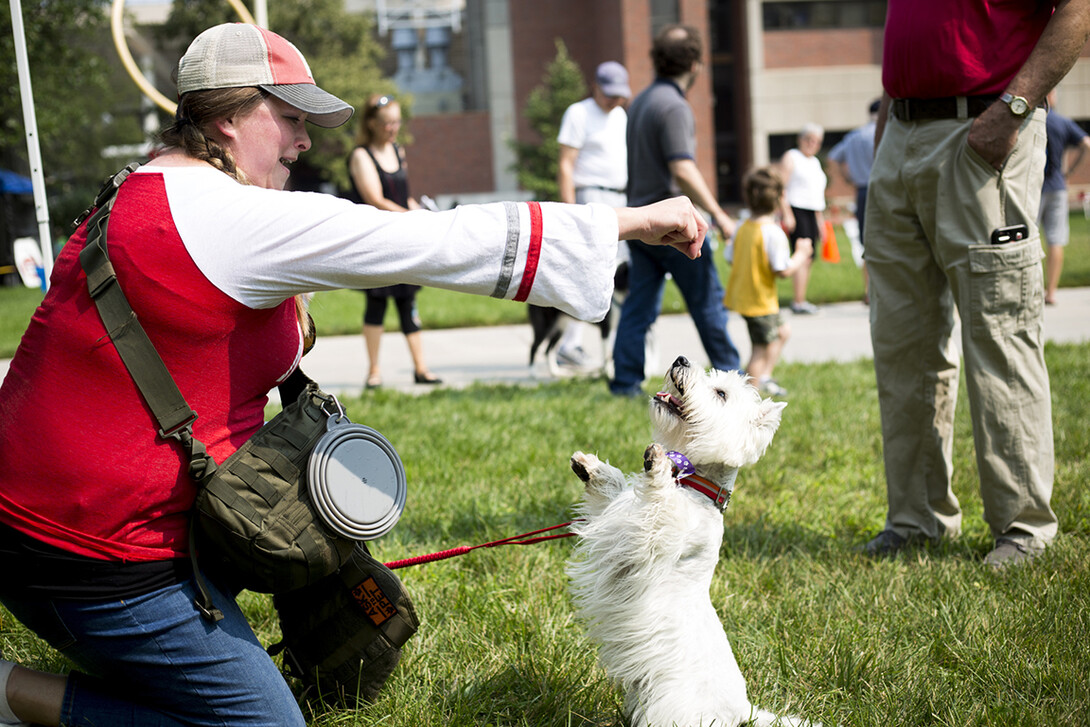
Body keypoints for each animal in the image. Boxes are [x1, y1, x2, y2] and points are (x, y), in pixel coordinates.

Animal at [571, 357, 819, 727]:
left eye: (720, 393)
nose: (681, 359)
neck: (695, 485)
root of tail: (744, 710)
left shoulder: (654, 539)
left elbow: (658, 508)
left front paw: (658, 465)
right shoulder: (616, 514)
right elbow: (611, 492)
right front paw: (591, 467)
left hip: (676, 710)